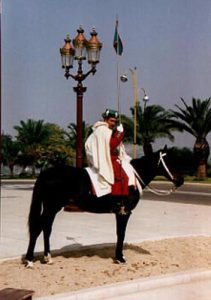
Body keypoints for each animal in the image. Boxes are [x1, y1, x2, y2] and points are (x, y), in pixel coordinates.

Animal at [24, 149, 183, 268]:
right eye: (170, 161)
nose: (180, 180)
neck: (133, 177)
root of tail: (46, 173)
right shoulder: (124, 212)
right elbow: (121, 234)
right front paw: (120, 258)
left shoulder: (121, 212)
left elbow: (120, 234)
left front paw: (119, 257)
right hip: (51, 207)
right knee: (38, 228)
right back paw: (30, 260)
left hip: (53, 208)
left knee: (46, 228)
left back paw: (47, 258)